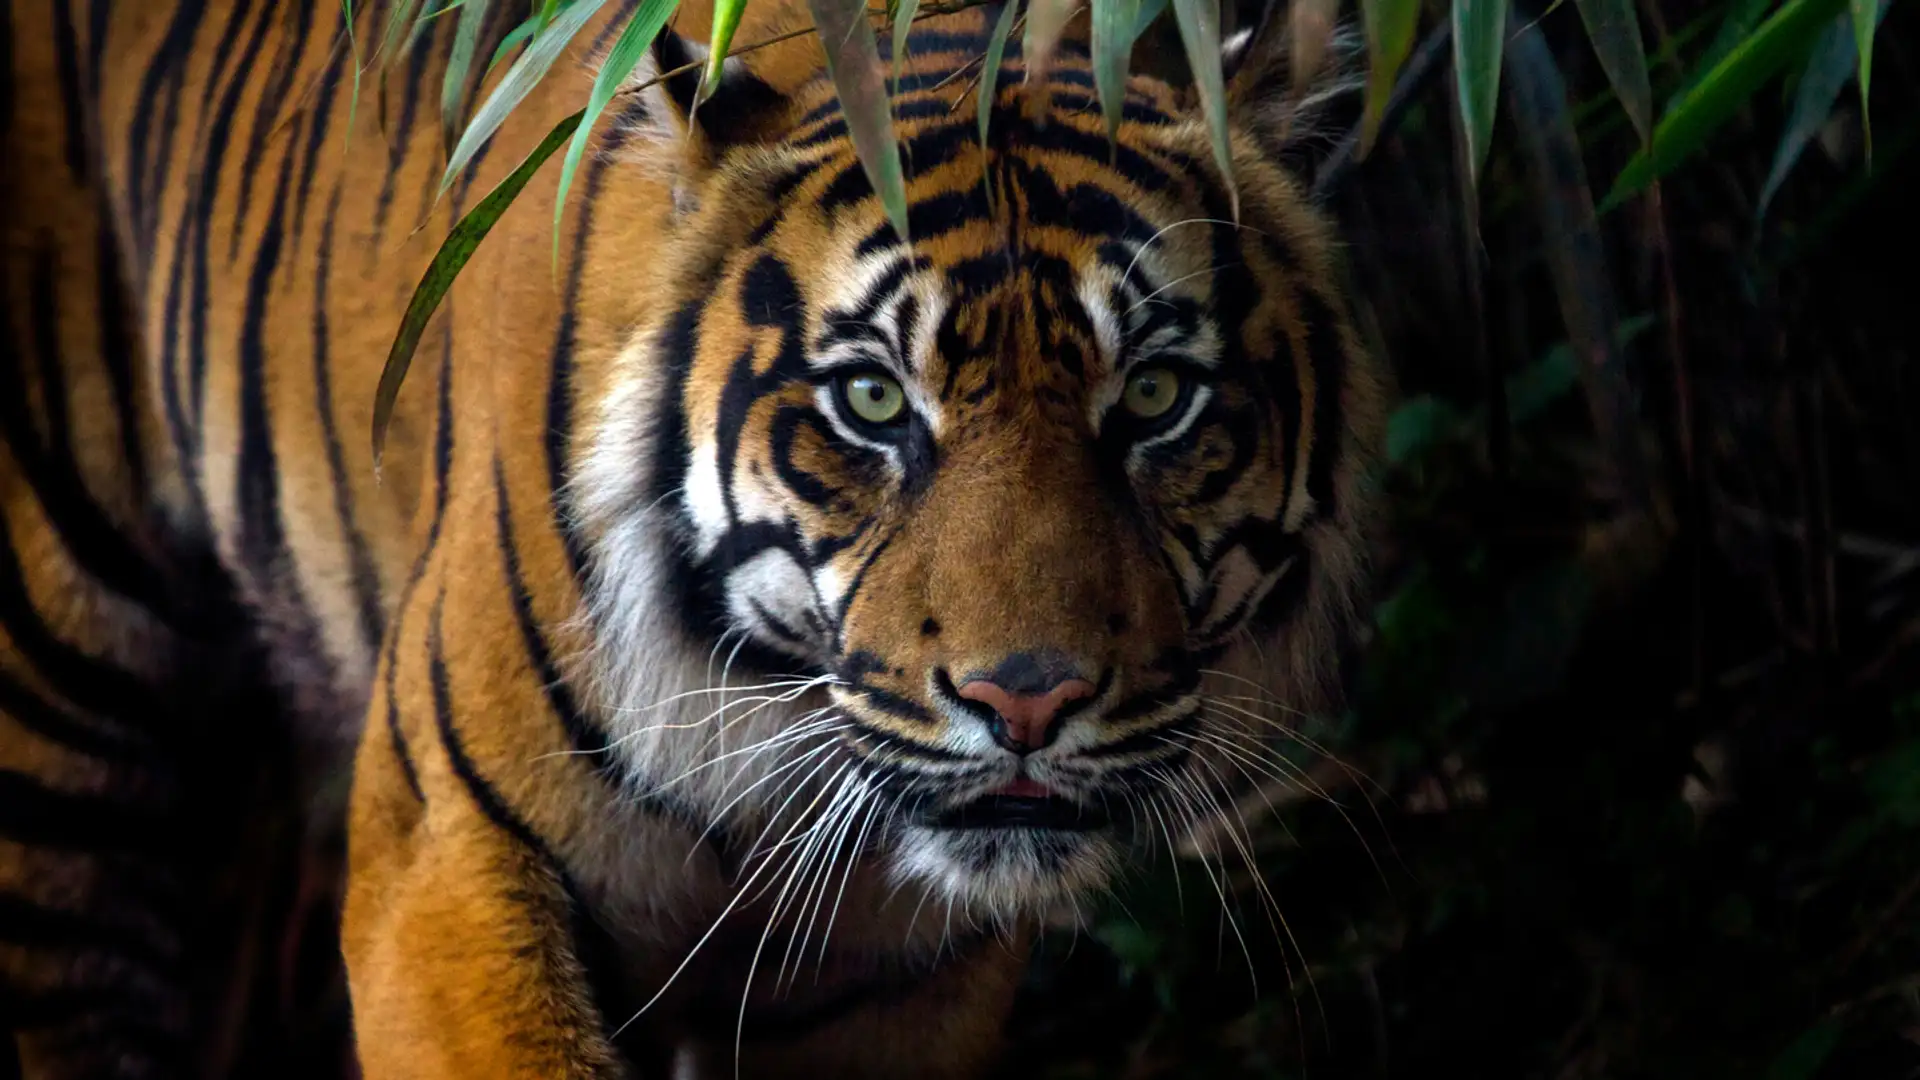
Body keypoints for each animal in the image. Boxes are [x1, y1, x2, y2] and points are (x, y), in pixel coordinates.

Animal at [0, 0, 1387, 1075]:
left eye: (1152, 397)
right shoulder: (442, 857)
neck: (771, 722)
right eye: (871, 401)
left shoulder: (894, 981)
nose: (1028, 702)